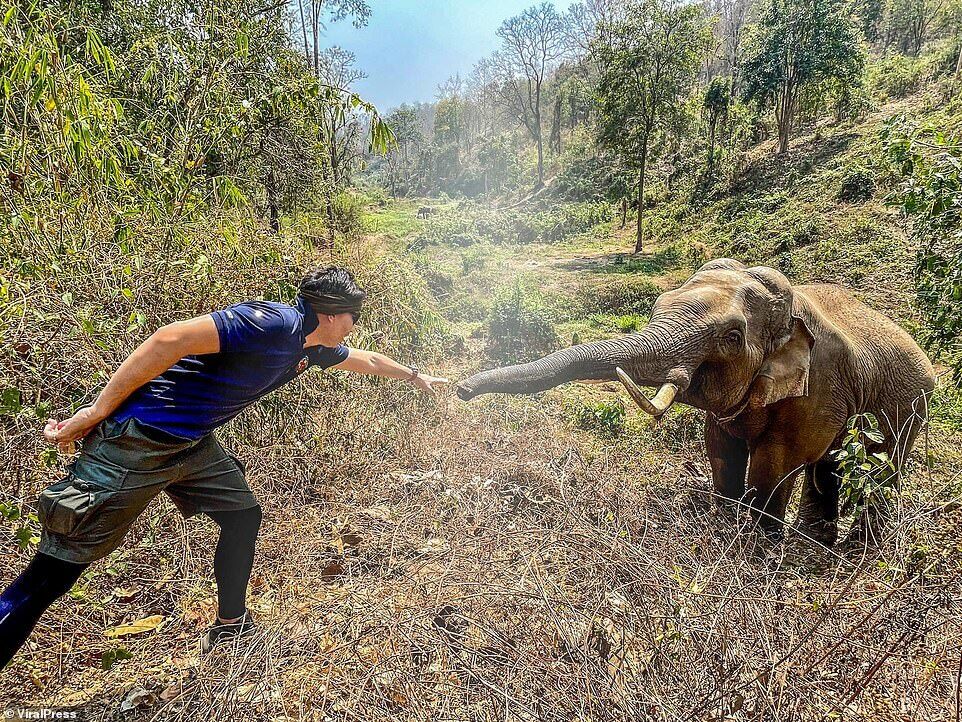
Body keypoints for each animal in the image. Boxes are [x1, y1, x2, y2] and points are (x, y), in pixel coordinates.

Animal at [458, 256, 936, 544]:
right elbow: (720, 449)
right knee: (831, 467)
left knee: (882, 469)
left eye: (732, 337)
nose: (462, 389)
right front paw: (725, 525)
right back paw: (820, 540)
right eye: (658, 305)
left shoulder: (817, 388)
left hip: (912, 406)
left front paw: (757, 550)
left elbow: (776, 464)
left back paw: (856, 545)